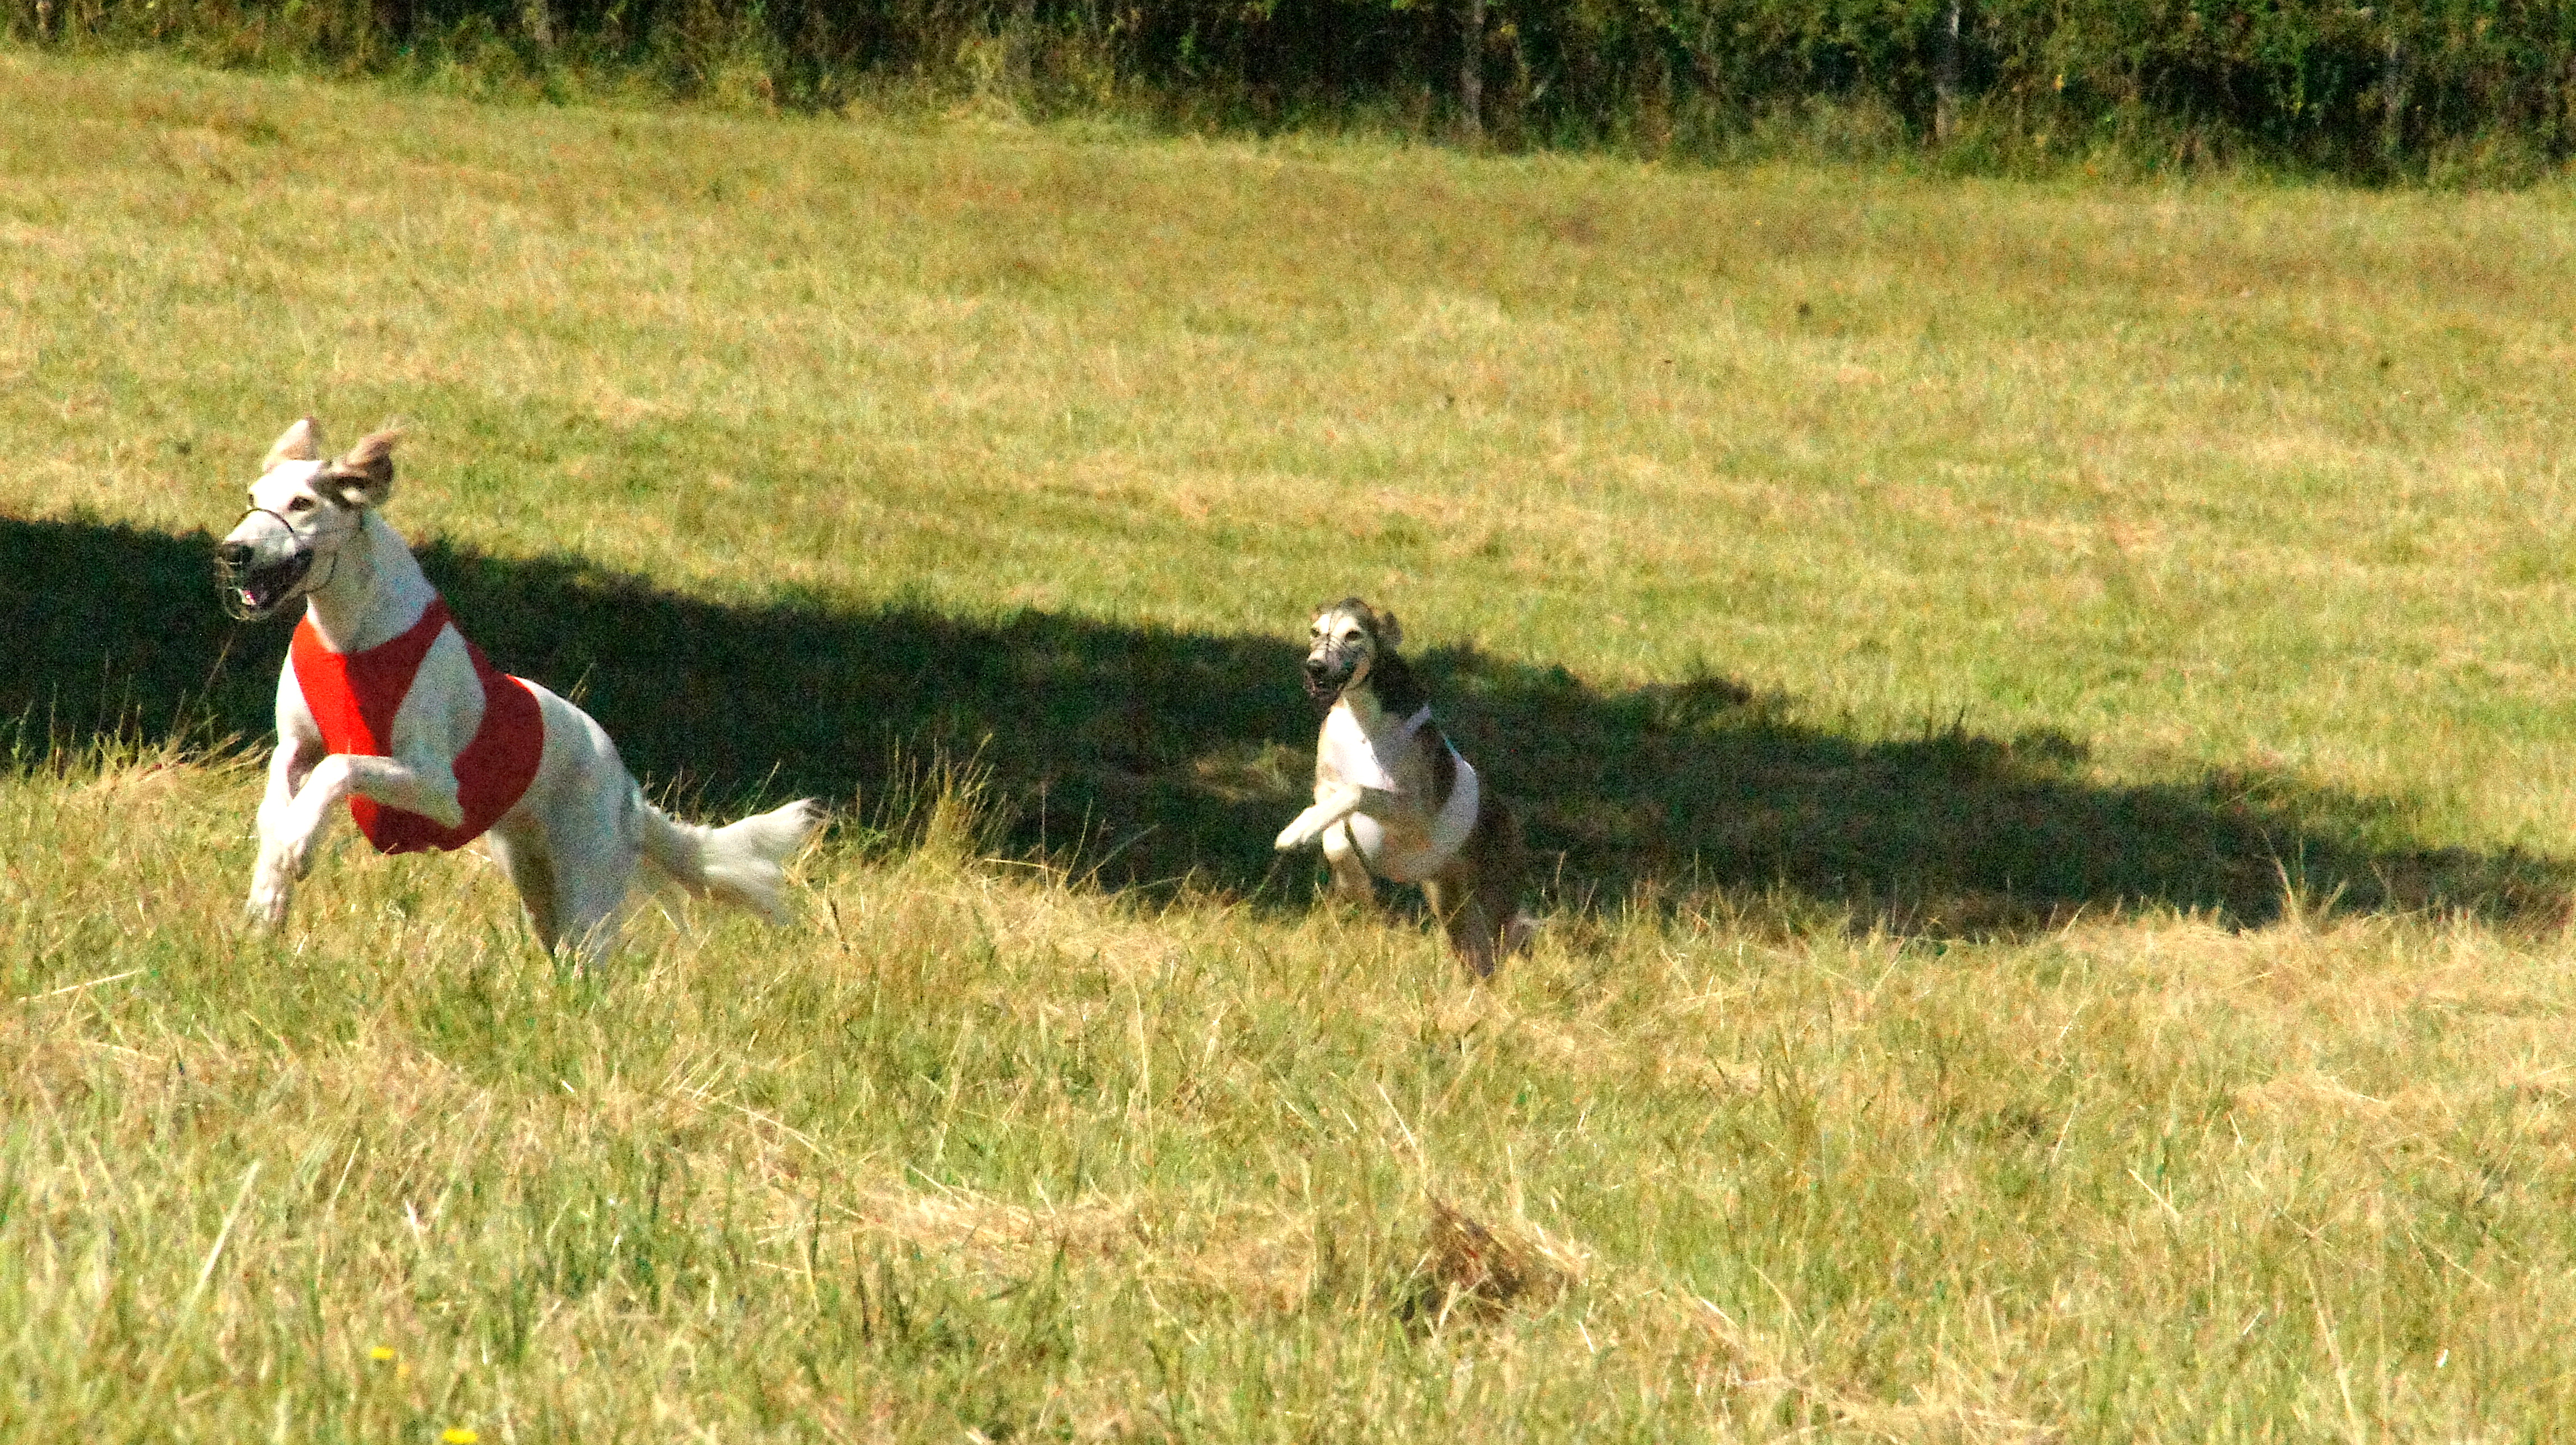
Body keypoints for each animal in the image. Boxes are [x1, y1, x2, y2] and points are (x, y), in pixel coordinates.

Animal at [225, 415, 824, 958]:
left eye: (302, 503)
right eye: (252, 497)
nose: (232, 553)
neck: (352, 637)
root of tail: (627, 789)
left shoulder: (439, 790)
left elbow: (340, 766)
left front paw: (299, 846)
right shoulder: (296, 746)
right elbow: (278, 796)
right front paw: (269, 895)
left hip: (586, 886)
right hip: (535, 878)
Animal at [1267, 592, 1525, 973]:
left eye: (1353, 635)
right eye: (1315, 631)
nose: (1315, 668)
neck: (1363, 724)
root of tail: (1509, 816)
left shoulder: (1414, 813)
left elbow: (1358, 789)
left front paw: (1295, 832)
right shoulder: (1324, 786)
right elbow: (1334, 834)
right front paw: (1353, 880)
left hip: (1497, 900)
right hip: (1451, 904)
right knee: (1478, 952)